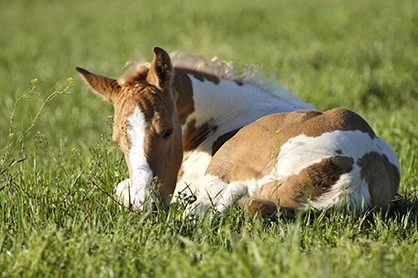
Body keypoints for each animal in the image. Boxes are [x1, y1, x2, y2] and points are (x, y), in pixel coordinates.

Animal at [76, 47, 400, 217]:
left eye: (167, 131)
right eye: (118, 142)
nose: (146, 206)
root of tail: (358, 170)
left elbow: (120, 188)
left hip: (222, 172)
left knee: (204, 211)